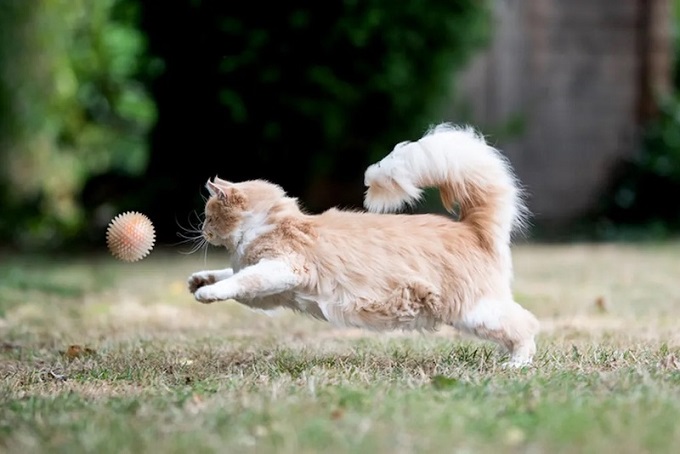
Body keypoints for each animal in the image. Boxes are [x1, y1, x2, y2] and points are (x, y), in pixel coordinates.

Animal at [189, 122, 540, 368]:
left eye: (208, 215)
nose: (202, 229)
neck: (268, 223)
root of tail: (471, 228)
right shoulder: (269, 295)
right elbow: (231, 274)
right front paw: (199, 280)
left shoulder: (283, 268)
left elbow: (239, 281)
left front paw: (206, 293)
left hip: (477, 312)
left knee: (526, 326)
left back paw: (517, 365)